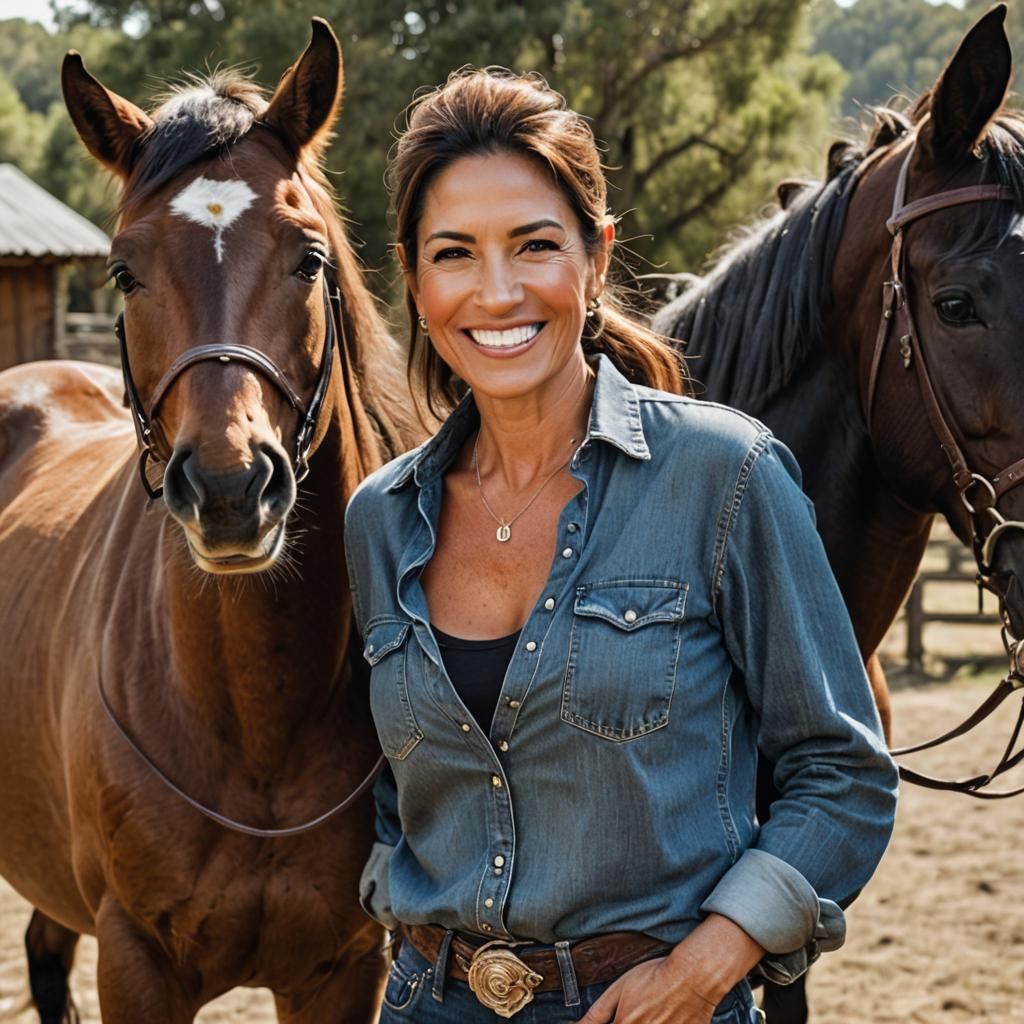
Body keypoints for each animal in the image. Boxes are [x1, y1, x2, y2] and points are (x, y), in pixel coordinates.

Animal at [0, 20, 423, 1023]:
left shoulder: (344, 970)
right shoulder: (137, 961)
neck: (255, 720)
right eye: (124, 272)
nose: (231, 490)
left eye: (309, 258)